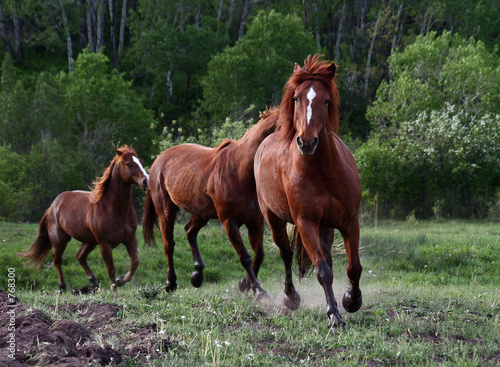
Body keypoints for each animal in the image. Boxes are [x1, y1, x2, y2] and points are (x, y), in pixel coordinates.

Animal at [20, 145, 148, 292]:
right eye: (128, 164)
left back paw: (93, 282)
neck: (115, 210)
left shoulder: (130, 239)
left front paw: (121, 281)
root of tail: (53, 205)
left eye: (141, 161)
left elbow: (135, 263)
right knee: (57, 259)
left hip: (89, 241)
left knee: (80, 257)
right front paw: (114, 289)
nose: (146, 181)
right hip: (60, 240)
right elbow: (111, 269)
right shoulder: (105, 245)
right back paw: (62, 286)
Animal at [143, 110, 280, 300]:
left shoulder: (255, 220)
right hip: (166, 212)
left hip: (202, 213)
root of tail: (159, 161)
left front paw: (245, 285)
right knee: (168, 245)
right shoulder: (229, 222)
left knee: (189, 231)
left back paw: (197, 276)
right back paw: (171, 283)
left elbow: (258, 254)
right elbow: (244, 256)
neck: (240, 171)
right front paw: (258, 290)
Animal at [256, 55, 362, 330]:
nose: (306, 141)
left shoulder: (349, 221)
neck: (323, 172)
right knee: (286, 254)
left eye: (325, 100)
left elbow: (353, 268)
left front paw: (351, 301)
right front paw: (334, 316)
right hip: (274, 219)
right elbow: (323, 270)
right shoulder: (306, 224)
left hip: (326, 227)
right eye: (296, 98)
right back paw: (291, 297)